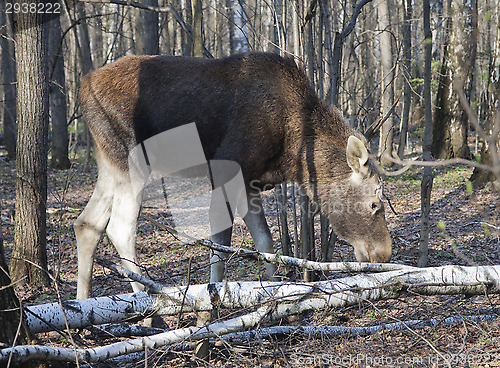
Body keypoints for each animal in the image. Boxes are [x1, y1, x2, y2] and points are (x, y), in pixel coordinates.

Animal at [76, 51, 392, 300]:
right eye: (374, 204)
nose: (384, 254)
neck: (293, 151)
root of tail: (83, 86)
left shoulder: (251, 182)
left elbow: (265, 243)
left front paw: (274, 293)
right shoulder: (225, 171)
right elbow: (220, 249)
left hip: (110, 162)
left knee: (87, 223)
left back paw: (83, 306)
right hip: (132, 159)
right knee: (120, 227)